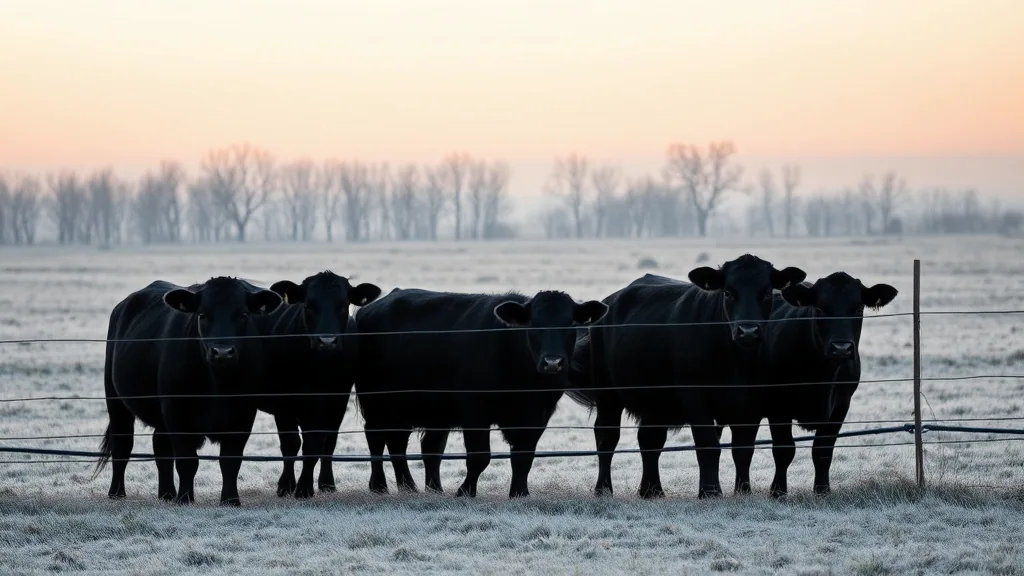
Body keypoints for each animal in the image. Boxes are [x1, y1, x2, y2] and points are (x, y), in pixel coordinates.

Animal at [94, 277, 283, 506]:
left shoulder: (244, 415)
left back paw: (166, 493)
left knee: (160, 446)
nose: (222, 353)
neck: (217, 387)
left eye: (243, 314)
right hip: (116, 401)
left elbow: (231, 460)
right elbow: (187, 461)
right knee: (122, 444)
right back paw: (117, 492)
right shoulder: (176, 411)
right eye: (202, 315)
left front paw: (230, 500)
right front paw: (185, 498)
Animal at [258, 271, 381, 499]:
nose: (327, 341)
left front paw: (321, 484)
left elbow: (323, 442)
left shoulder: (336, 401)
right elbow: (291, 443)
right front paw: (288, 485)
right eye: (308, 304)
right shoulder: (284, 404)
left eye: (343, 304)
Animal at [354, 288, 608, 499]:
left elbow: (524, 456)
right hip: (376, 403)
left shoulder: (537, 415)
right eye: (533, 324)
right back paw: (380, 486)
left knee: (416, 446)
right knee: (376, 438)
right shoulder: (474, 411)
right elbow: (480, 456)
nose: (553, 362)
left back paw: (420, 488)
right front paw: (465, 491)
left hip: (421, 410)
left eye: (570, 324)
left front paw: (519, 493)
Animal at [567, 254, 806, 499]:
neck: (735, 362)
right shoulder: (696, 399)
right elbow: (708, 446)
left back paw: (652, 490)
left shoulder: (752, 404)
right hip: (608, 395)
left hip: (655, 404)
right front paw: (710, 492)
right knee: (607, 437)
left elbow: (743, 449)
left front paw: (743, 491)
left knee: (650, 440)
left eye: (767, 292)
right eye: (728, 292)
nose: (747, 330)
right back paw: (603, 489)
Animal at [755, 272, 898, 497]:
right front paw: (778, 492)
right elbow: (784, 449)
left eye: (858, 309)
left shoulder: (841, 405)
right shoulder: (778, 406)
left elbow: (823, 449)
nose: (841, 348)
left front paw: (822, 490)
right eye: (821, 309)